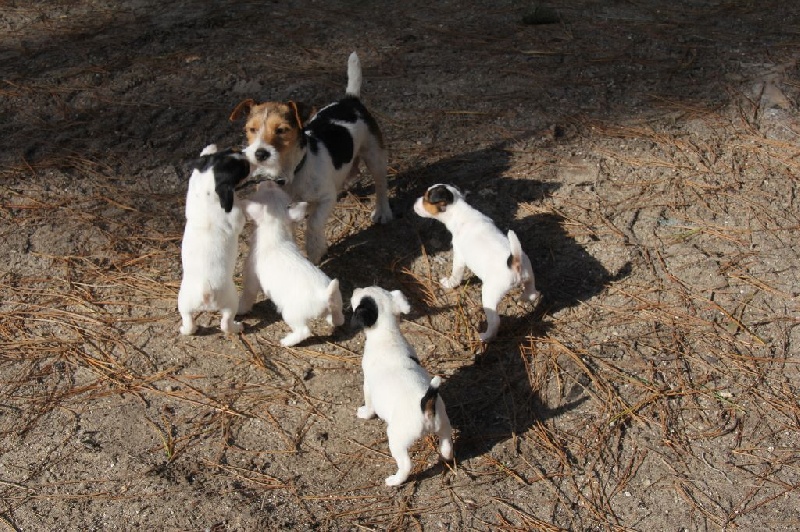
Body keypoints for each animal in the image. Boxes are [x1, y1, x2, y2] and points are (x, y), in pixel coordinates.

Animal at [177, 144, 250, 336]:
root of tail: (206, 290)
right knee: (226, 323)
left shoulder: (195, 185)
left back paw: (187, 329)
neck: (207, 191)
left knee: (188, 322)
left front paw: (208, 149)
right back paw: (237, 327)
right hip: (231, 302)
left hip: (183, 302)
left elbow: (196, 173)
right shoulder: (236, 218)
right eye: (243, 169)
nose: (246, 156)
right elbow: (239, 210)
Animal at [229, 51, 393, 265]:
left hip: (374, 156)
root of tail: (350, 100)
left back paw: (382, 211)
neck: (292, 171)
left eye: (281, 130)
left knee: (381, 185)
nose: (260, 153)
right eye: (251, 129)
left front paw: (315, 248)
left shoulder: (326, 198)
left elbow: (314, 222)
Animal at [237, 181, 344, 346]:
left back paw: (285, 342)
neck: (275, 233)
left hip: (291, 314)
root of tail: (324, 295)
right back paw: (333, 320)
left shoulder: (251, 278)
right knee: (339, 318)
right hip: (337, 301)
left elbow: (247, 295)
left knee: (304, 331)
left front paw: (240, 309)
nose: (269, 182)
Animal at [350, 286, 453, 486]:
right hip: (444, 425)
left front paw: (364, 413)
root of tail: (424, 408)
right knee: (447, 446)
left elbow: (369, 404)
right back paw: (446, 457)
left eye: (360, 297)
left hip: (397, 440)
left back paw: (395, 480)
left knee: (406, 465)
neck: (387, 333)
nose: (355, 289)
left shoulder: (367, 385)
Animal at [413, 184, 540, 341]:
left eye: (426, 198)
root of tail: (514, 262)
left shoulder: (459, 256)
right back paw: (524, 297)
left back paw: (485, 336)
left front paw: (449, 283)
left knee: (495, 321)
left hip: (489, 295)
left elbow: (455, 274)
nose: (414, 203)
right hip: (529, 276)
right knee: (533, 293)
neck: (460, 210)